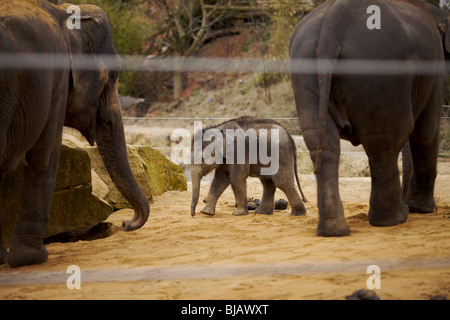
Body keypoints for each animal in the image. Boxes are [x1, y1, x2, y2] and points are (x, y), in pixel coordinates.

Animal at [0, 0, 151, 268]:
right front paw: (33, 258)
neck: (61, 9)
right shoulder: (56, 80)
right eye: (114, 75)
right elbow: (44, 158)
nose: (126, 223)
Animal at [290, 0, 448, 236]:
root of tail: (332, 28)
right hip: (379, 73)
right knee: (384, 142)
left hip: (306, 70)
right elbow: (426, 132)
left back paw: (334, 230)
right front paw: (422, 210)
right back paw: (394, 219)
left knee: (325, 145)